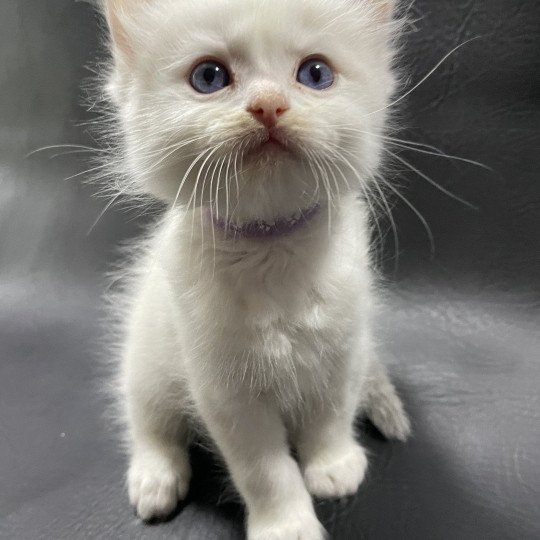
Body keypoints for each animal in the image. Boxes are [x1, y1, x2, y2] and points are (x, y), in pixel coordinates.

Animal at [101, 1, 412, 540]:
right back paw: (156, 480)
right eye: (209, 77)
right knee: (149, 420)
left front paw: (334, 466)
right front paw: (287, 525)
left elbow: (331, 414)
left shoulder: (343, 352)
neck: (272, 246)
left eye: (315, 73)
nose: (268, 104)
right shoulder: (226, 393)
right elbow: (264, 469)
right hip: (147, 355)